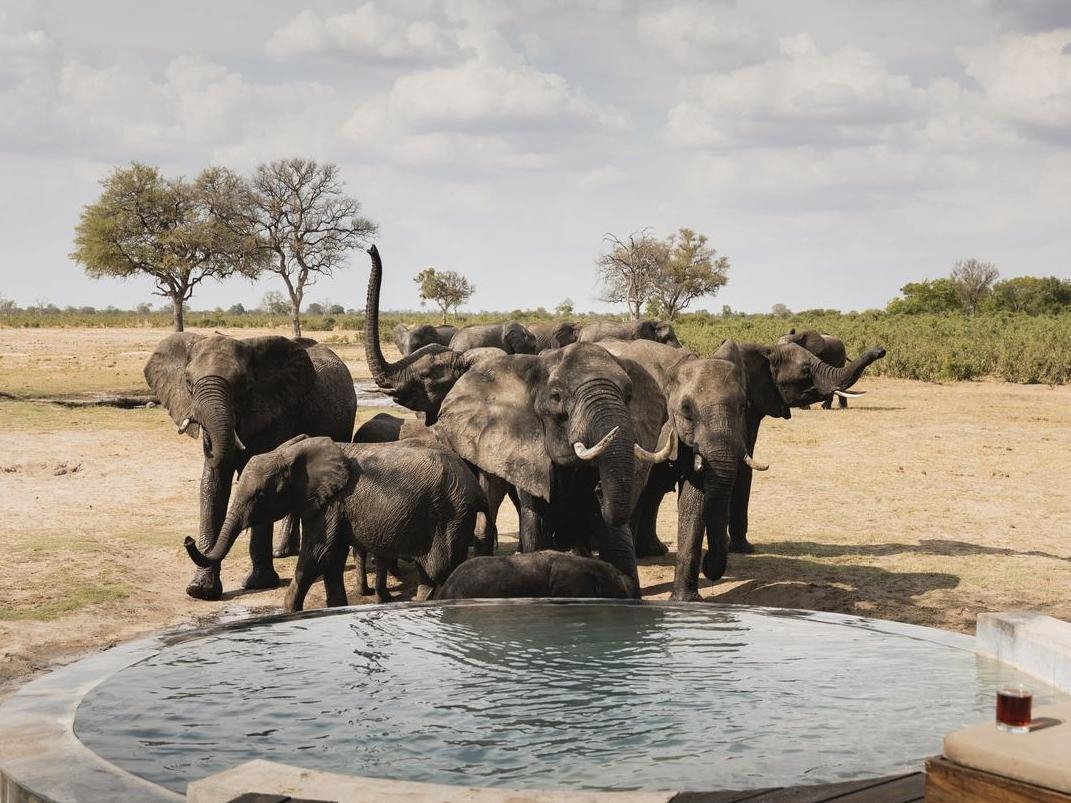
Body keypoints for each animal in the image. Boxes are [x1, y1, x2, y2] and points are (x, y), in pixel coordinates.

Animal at [145, 333, 356, 601]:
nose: (188, 541)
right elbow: (213, 486)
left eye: (243, 384)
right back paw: (283, 552)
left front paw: (259, 583)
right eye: (189, 382)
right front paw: (200, 590)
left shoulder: (277, 412)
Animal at [184, 435, 485, 609]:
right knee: (430, 575)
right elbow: (332, 560)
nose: (188, 539)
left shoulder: (331, 504)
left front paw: (288, 612)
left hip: (451, 515)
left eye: (260, 495)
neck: (292, 454)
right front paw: (336, 607)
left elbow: (317, 556)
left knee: (441, 569)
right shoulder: (336, 508)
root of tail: (473, 484)